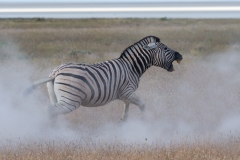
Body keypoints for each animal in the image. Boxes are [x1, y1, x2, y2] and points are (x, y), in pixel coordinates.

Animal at [29, 35, 182, 122]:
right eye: (166, 48)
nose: (180, 55)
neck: (132, 67)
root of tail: (56, 72)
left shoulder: (125, 95)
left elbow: (126, 111)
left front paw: (123, 124)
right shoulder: (128, 91)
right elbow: (142, 105)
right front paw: (146, 122)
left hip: (57, 97)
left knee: (52, 111)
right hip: (70, 101)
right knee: (49, 110)